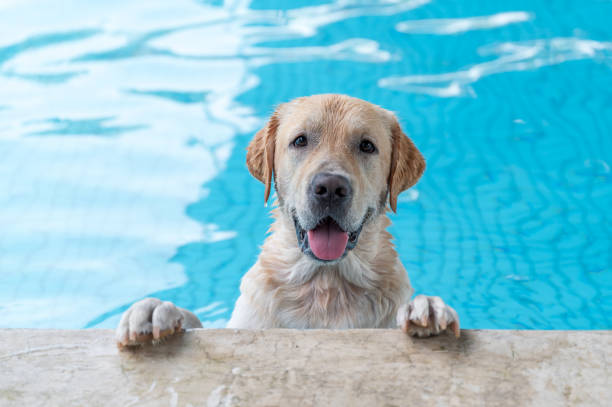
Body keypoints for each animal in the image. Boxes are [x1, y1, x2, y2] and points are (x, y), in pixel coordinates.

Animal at [115, 94, 460, 350]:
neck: (326, 285)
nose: (330, 188)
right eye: (300, 141)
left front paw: (428, 308)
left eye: (366, 145)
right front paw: (155, 310)